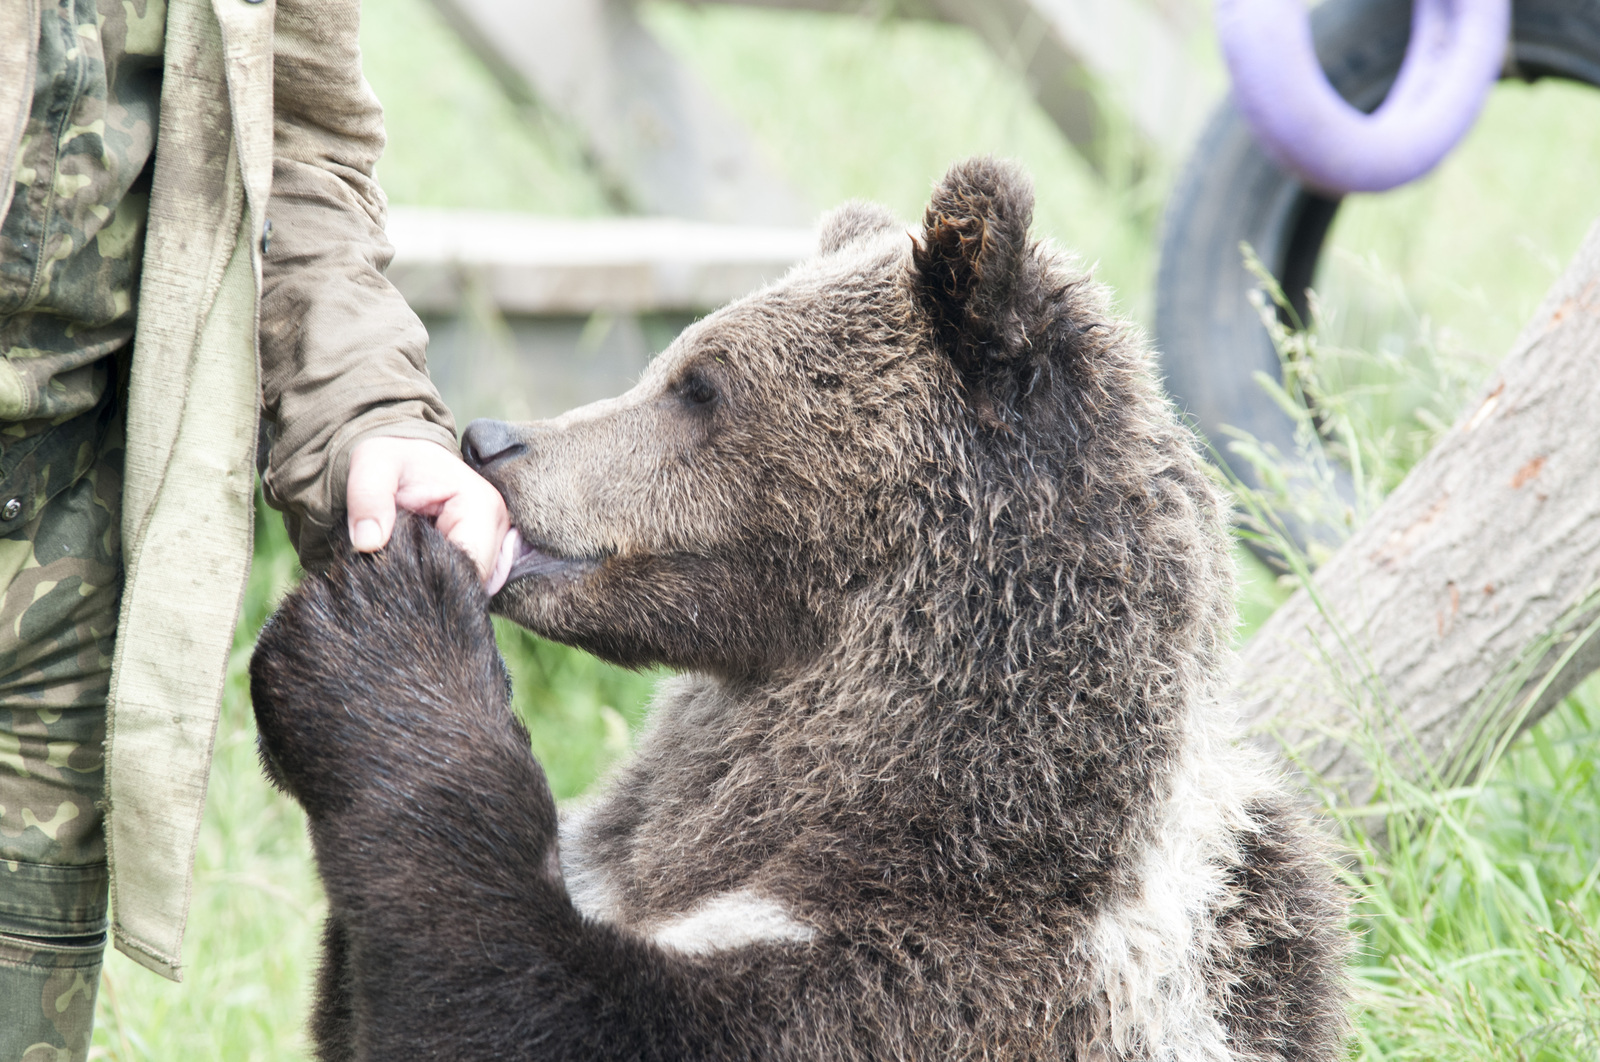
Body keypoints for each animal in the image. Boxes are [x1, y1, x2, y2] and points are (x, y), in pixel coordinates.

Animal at [252, 153, 1350, 1055]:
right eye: (674, 361)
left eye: (700, 384)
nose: (491, 440)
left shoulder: (945, 979)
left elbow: (531, 1008)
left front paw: (380, 634)